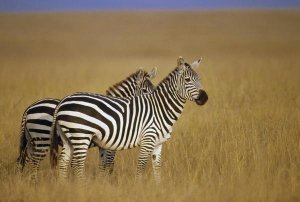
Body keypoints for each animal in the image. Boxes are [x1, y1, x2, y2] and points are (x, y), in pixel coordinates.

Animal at [15, 67, 157, 181]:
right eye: (145, 90)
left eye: (154, 89)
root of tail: (29, 109)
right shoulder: (111, 145)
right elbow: (109, 164)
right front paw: (107, 182)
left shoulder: (103, 145)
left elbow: (103, 164)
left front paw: (101, 181)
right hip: (42, 137)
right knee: (34, 162)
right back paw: (34, 182)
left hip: (31, 139)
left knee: (25, 159)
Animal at [49, 56, 209, 182]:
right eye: (187, 79)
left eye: (200, 79)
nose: (205, 98)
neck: (160, 109)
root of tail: (63, 101)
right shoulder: (146, 140)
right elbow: (139, 168)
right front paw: (138, 189)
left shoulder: (158, 144)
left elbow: (157, 170)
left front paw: (159, 189)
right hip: (81, 136)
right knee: (77, 165)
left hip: (68, 138)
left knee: (63, 163)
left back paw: (64, 187)